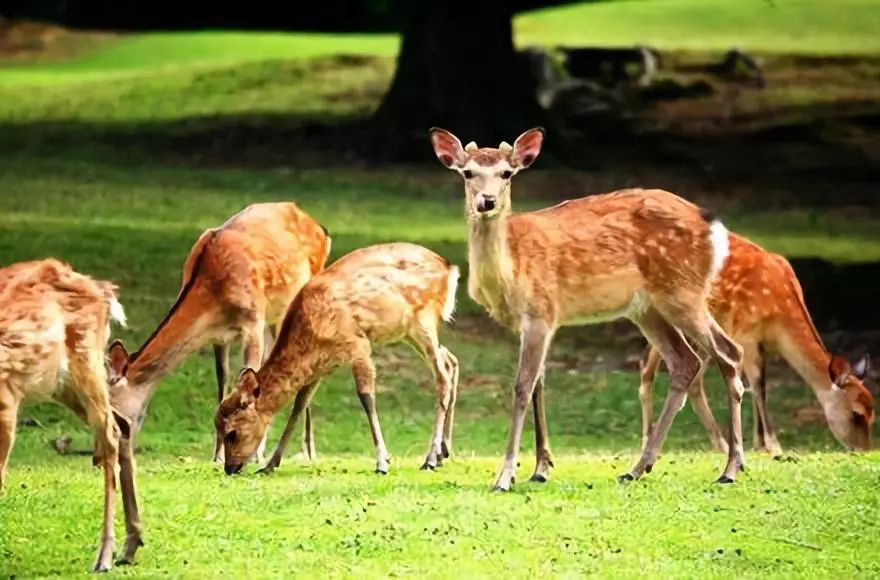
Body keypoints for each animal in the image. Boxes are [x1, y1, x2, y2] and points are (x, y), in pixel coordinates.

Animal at [0, 260, 143, 572]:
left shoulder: (6, 399)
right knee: (123, 424)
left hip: (86, 362)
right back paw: (130, 546)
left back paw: (104, 556)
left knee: (111, 434)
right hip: (62, 385)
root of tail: (103, 291)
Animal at [105, 201, 330, 462]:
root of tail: (320, 227)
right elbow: (223, 382)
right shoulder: (218, 335)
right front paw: (218, 455)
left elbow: (248, 379)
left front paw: (247, 454)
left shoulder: (252, 320)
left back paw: (309, 451)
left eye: (114, 413)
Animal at [215, 244, 460, 476]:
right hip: (409, 332)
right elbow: (299, 405)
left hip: (424, 321)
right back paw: (442, 453)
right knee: (451, 360)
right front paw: (269, 465)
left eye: (232, 433)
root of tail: (450, 269)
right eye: (216, 424)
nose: (229, 468)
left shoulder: (358, 343)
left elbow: (366, 397)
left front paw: (382, 462)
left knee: (442, 375)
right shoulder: (322, 365)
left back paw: (430, 459)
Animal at [430, 125, 744, 490]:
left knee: (728, 352)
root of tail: (715, 227)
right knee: (686, 362)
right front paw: (541, 468)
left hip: (683, 291)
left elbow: (522, 386)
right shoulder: (533, 322)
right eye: (468, 173)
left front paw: (505, 475)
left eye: (506, 173)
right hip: (648, 308)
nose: (487, 201)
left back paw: (731, 468)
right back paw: (639, 468)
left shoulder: (541, 312)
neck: (511, 270)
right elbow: (539, 385)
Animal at [640, 233, 872, 456]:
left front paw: (759, 444)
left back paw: (720, 445)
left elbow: (757, 386)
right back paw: (647, 440)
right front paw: (773, 446)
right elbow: (759, 388)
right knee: (648, 367)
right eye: (856, 413)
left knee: (691, 377)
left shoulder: (761, 346)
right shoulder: (747, 335)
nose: (864, 450)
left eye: (873, 412)